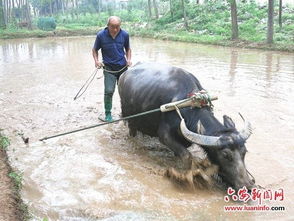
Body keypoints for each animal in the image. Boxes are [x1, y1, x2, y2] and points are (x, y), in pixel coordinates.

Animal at [118, 62, 254, 190]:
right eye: (226, 155)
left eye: (244, 152)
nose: (247, 185)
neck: (188, 105)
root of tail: (124, 75)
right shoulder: (164, 135)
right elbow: (187, 156)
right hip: (130, 119)